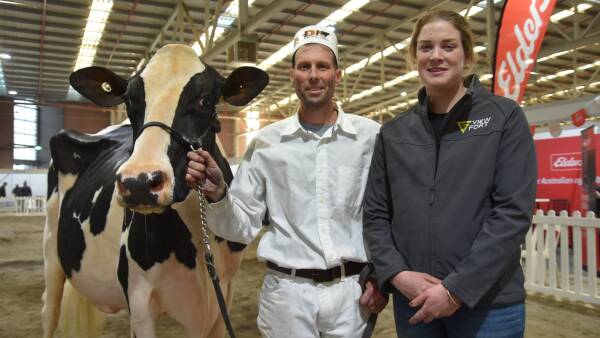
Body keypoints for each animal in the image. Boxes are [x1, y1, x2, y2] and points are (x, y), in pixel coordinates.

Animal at [42, 45, 268, 338]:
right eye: (130, 100)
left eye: (206, 100)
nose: (139, 182)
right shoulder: (139, 297)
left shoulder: (222, 298)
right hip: (51, 251)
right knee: (50, 311)